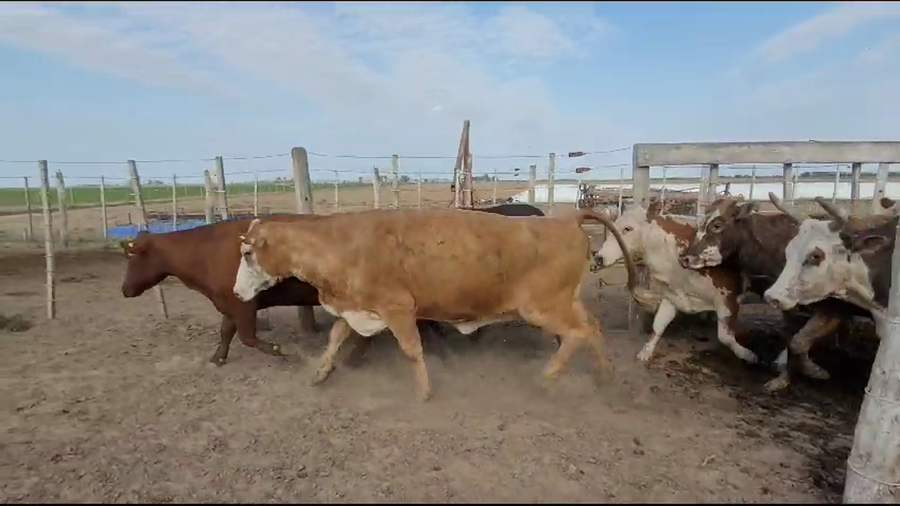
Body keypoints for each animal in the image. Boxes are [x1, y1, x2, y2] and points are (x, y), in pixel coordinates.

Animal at [232, 207, 637, 401]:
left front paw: (424, 392)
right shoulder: (356, 308)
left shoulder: (398, 308)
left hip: (542, 307)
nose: (236, 292)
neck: (343, 244)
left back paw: (549, 376)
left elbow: (412, 350)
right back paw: (604, 375)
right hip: (564, 301)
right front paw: (319, 374)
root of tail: (566, 219)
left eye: (248, 253)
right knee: (593, 328)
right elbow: (334, 339)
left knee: (577, 334)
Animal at [594, 200, 762, 365]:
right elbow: (659, 325)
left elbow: (725, 337)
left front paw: (749, 355)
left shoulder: (728, 299)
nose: (598, 258)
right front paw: (646, 352)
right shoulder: (673, 296)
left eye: (627, 228)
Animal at [678, 196, 874, 391]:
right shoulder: (785, 306)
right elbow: (790, 338)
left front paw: (809, 370)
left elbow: (798, 342)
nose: (686, 259)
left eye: (717, 225)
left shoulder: (832, 310)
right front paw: (782, 377)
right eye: (701, 222)